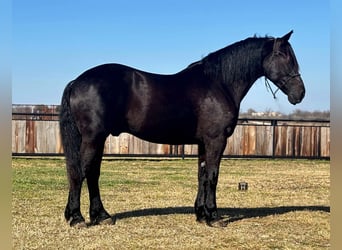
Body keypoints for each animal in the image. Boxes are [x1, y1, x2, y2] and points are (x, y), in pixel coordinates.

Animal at [60, 30, 306, 228]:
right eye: (284, 57)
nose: (300, 93)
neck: (218, 83)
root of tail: (76, 82)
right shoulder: (216, 140)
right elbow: (213, 175)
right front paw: (213, 217)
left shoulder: (203, 143)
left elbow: (202, 175)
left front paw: (201, 214)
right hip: (93, 138)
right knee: (79, 173)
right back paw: (77, 218)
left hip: (98, 139)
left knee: (92, 173)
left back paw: (101, 216)